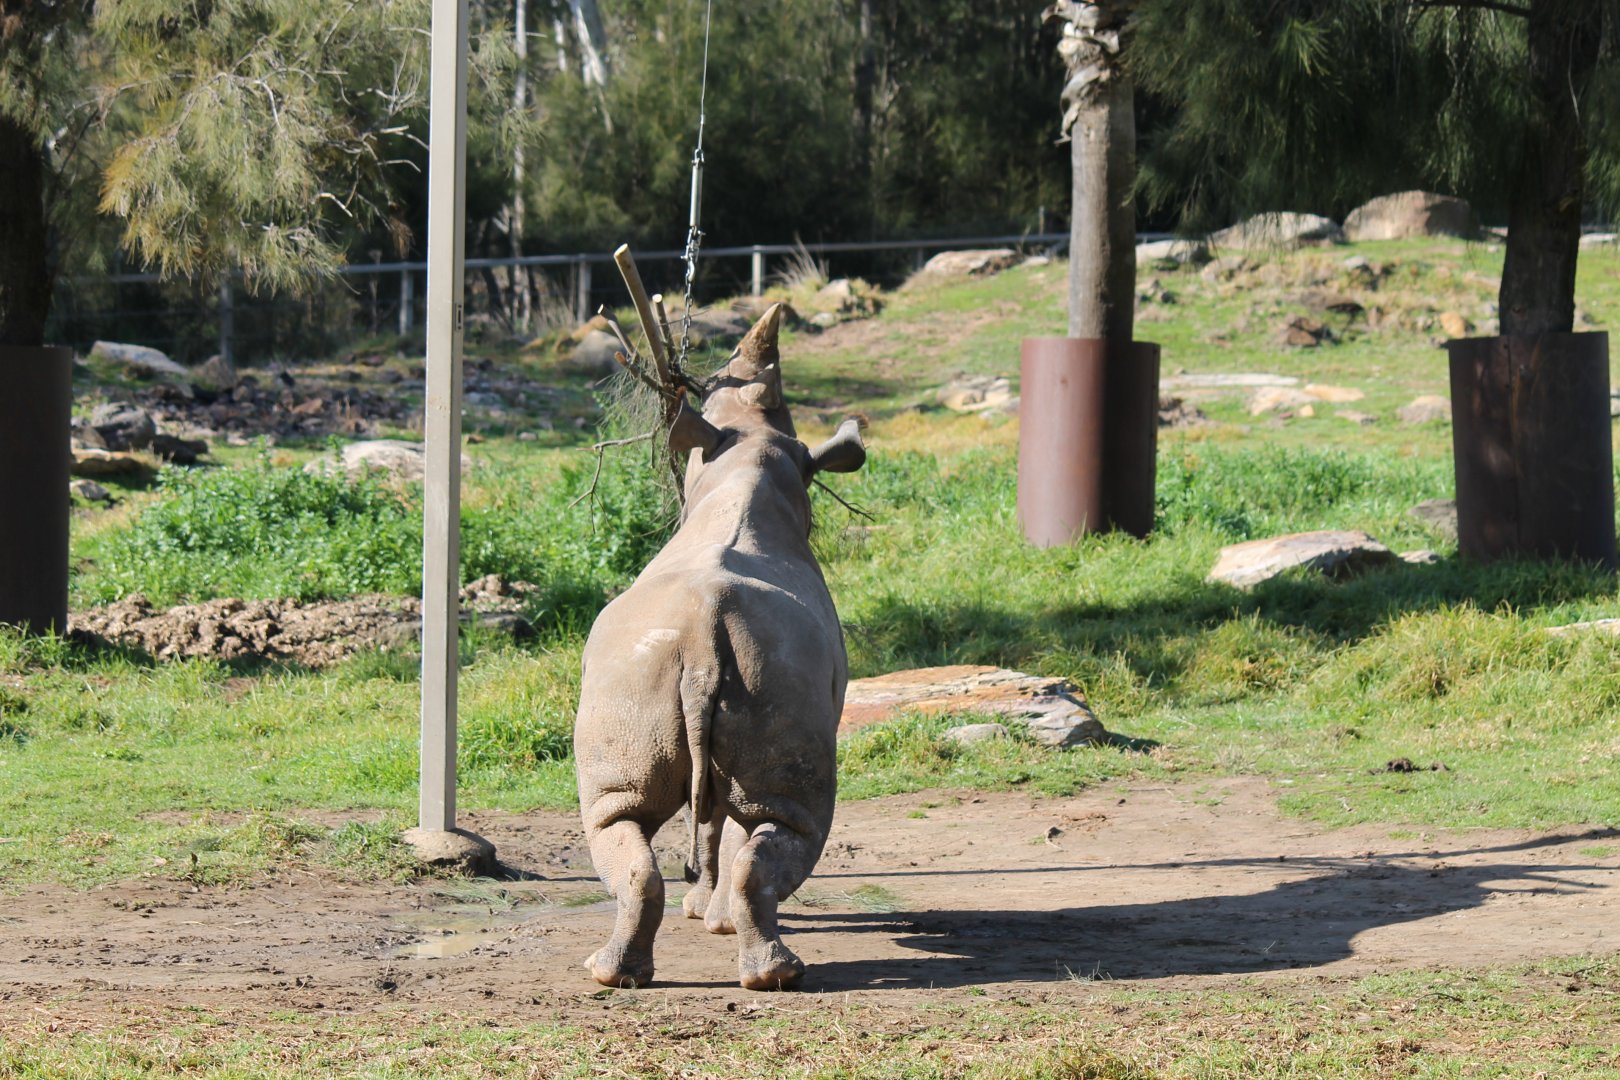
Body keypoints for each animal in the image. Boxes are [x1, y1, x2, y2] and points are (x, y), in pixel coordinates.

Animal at [572, 302, 866, 991]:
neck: (748, 462)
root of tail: (706, 633)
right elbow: (712, 820)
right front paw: (709, 915)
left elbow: (707, 818)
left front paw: (705, 913)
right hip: (727, 669)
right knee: (780, 818)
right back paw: (767, 971)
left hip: (650, 672)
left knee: (619, 814)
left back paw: (621, 974)